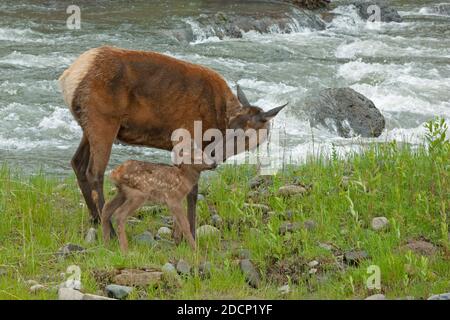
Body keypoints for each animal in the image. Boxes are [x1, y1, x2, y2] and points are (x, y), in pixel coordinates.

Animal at [59, 46, 284, 238]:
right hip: (103, 121)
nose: (215, 156)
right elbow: (191, 190)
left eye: (244, 133)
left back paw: (95, 219)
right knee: (95, 172)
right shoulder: (190, 138)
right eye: (232, 125)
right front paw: (187, 234)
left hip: (88, 126)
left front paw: (179, 233)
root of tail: (69, 77)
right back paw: (111, 230)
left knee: (77, 162)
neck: (218, 118)